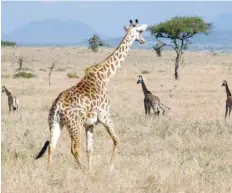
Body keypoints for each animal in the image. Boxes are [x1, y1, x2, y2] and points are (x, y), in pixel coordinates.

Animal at [35, 18, 149, 171]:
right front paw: (109, 168)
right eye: (140, 31)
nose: (143, 40)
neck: (105, 76)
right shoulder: (105, 115)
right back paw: (82, 171)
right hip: (74, 125)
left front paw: (91, 170)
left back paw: (49, 172)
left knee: (52, 146)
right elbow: (117, 140)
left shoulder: (90, 124)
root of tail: (57, 106)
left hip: (55, 122)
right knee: (74, 149)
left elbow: (89, 149)